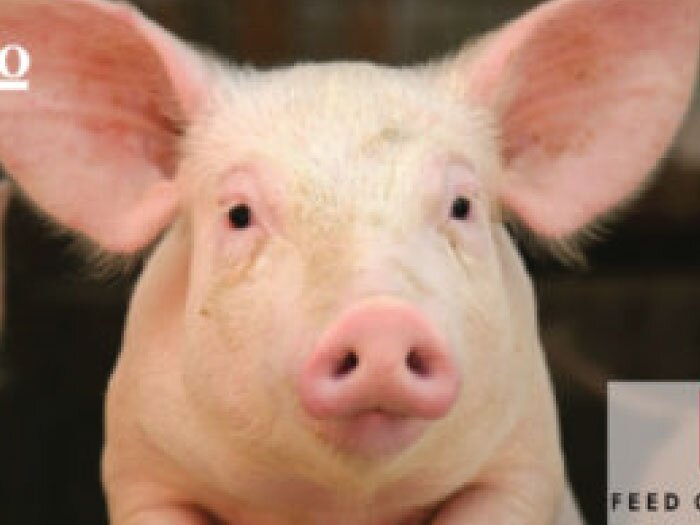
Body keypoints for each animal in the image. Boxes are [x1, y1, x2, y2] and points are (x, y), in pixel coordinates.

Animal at [0, 0, 698, 523]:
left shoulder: (523, 461)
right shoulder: (141, 466)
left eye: (462, 205)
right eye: (239, 214)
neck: (340, 506)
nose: (381, 320)